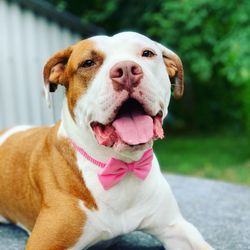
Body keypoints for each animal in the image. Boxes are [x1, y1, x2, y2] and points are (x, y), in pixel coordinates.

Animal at [0, 32, 214, 249]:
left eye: (147, 53)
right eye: (88, 63)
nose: (126, 70)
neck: (121, 165)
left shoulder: (175, 227)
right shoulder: (45, 242)